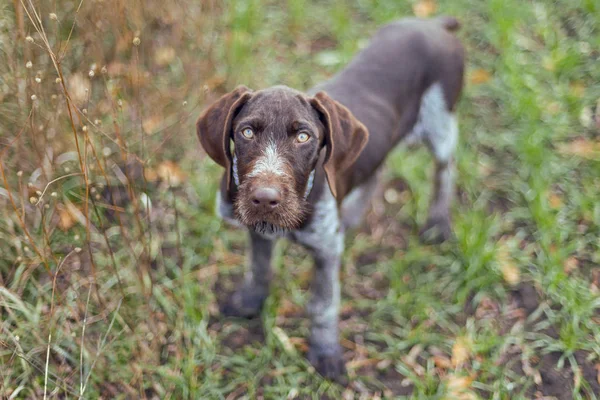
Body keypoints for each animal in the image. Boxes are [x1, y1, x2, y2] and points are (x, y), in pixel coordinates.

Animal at [196, 15, 464, 382]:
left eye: (303, 137)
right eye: (246, 132)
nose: (264, 198)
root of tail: (435, 23)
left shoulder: (325, 251)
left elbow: (323, 305)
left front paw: (325, 353)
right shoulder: (258, 229)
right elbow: (260, 268)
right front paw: (249, 301)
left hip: (441, 123)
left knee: (445, 170)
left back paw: (437, 222)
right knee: (375, 171)